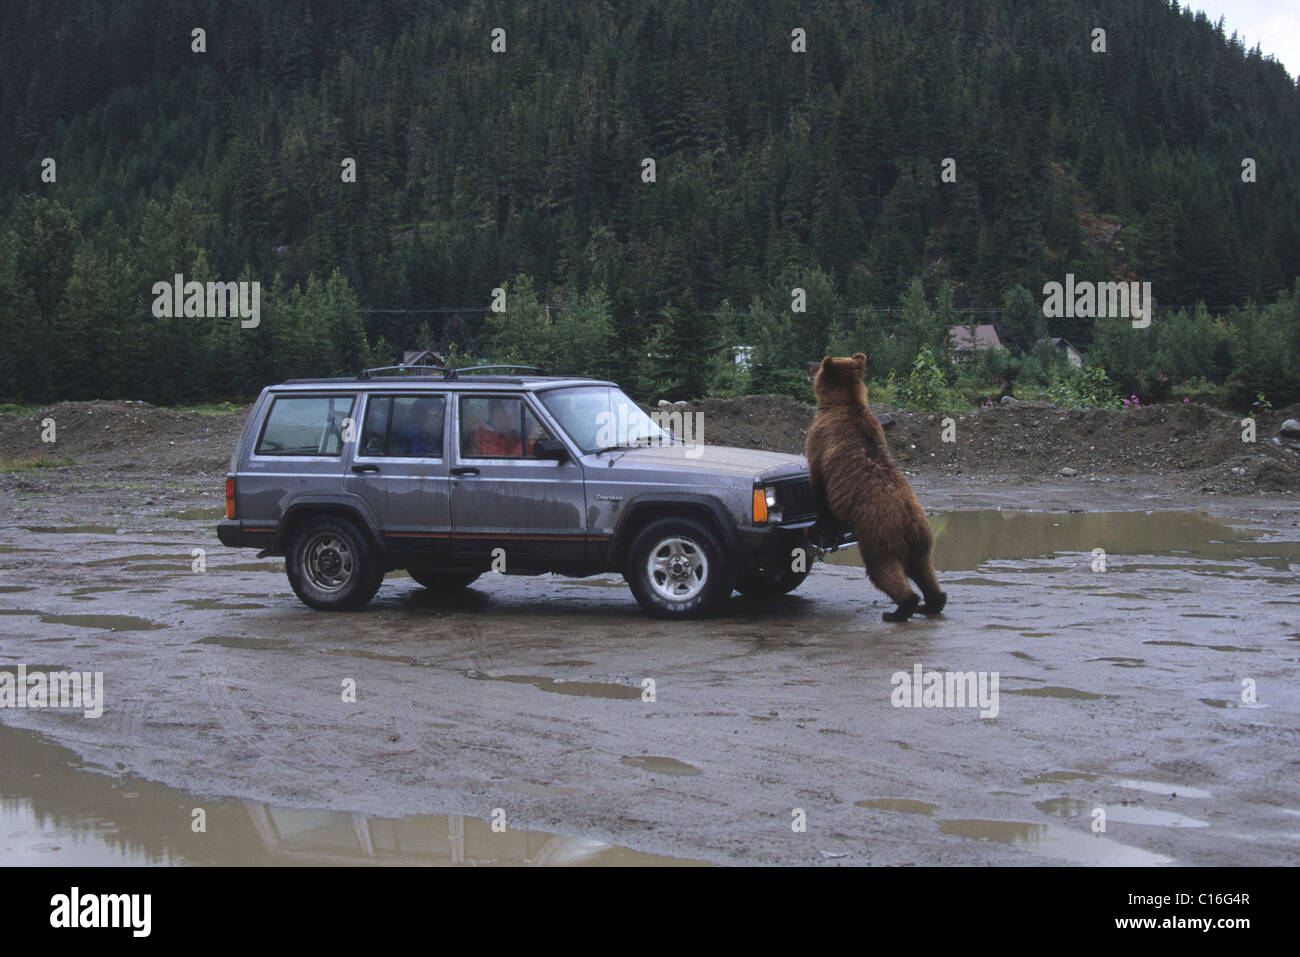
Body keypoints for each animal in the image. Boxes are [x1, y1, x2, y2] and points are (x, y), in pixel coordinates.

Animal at [800, 351, 946, 621]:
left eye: (818, 364)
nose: (806, 363)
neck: (841, 404)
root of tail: (909, 522)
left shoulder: (821, 441)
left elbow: (819, 485)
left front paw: (820, 521)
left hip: (879, 535)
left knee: (883, 571)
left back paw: (900, 609)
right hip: (922, 541)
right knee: (924, 570)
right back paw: (932, 603)